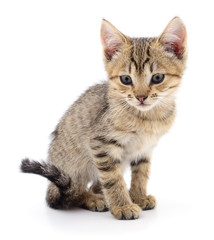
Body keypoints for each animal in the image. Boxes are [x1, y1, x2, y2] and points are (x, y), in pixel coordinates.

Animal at [20, 16, 187, 219]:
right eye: (126, 79)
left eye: (157, 78)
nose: (140, 97)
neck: (147, 118)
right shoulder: (100, 144)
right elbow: (113, 179)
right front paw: (123, 205)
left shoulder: (145, 149)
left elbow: (141, 173)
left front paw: (138, 196)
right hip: (74, 167)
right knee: (71, 192)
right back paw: (92, 199)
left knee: (93, 186)